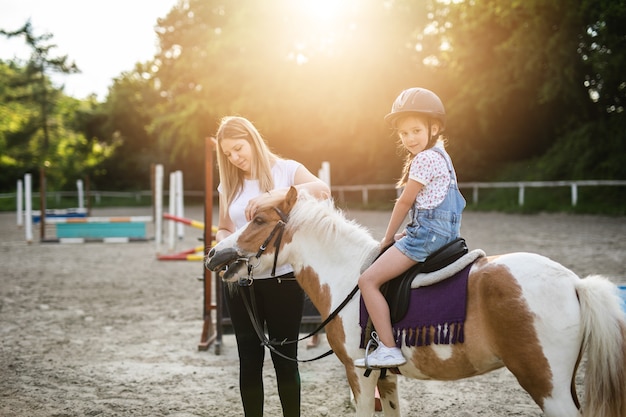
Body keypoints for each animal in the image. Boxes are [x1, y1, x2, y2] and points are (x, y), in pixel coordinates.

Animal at [207, 188, 624, 416]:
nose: (214, 253)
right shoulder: (387, 380)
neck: (347, 277)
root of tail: (575, 284)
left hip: (548, 387)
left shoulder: (358, 374)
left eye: (259, 221)